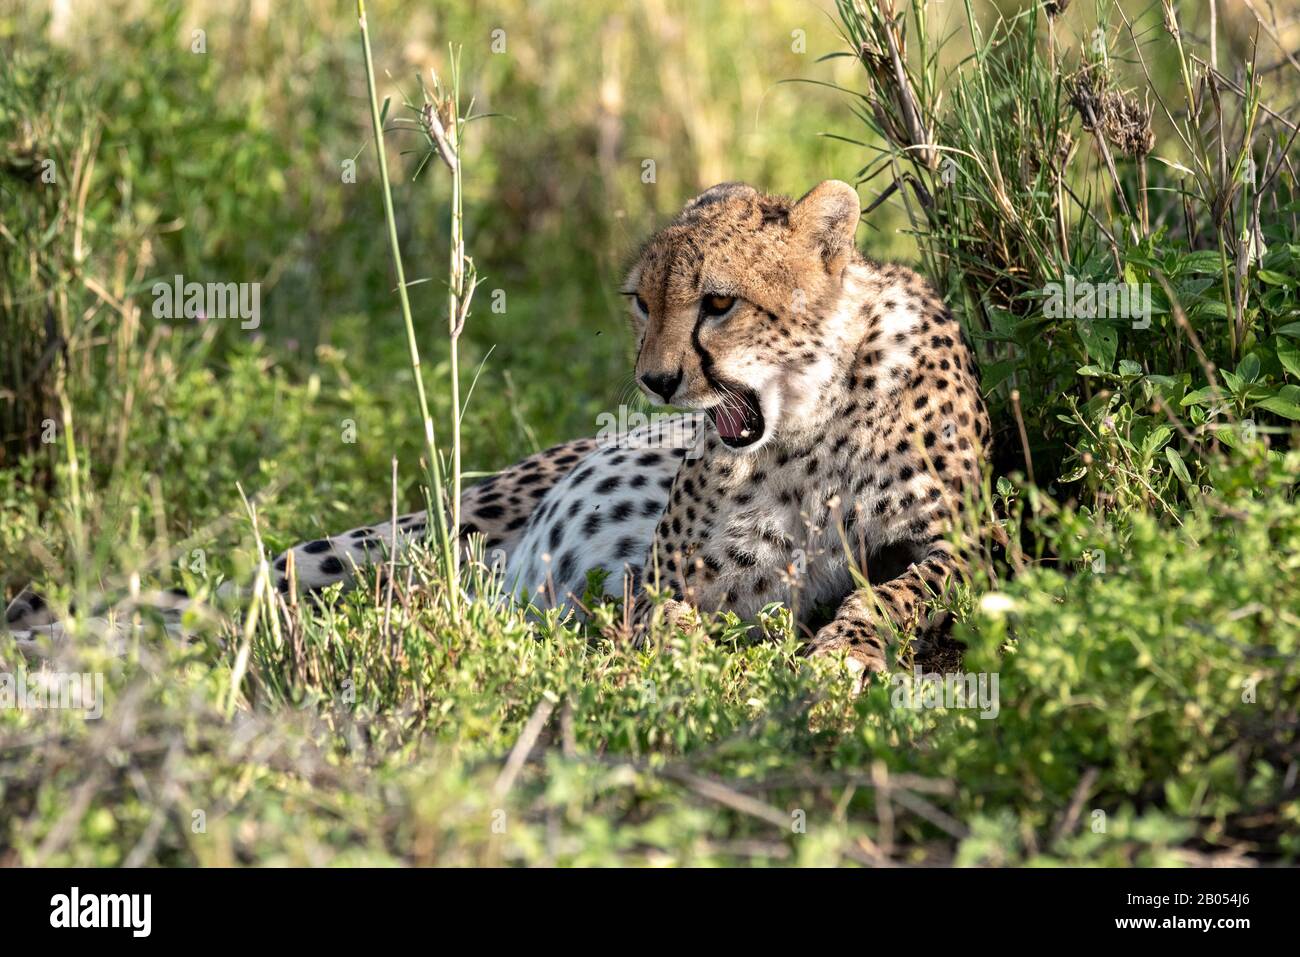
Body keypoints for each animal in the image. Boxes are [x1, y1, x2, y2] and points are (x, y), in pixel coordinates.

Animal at [5, 179, 987, 681]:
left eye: (718, 303)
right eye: (642, 301)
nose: (656, 380)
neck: (808, 418)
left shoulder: (971, 543)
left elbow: (893, 593)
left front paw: (839, 658)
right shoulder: (669, 576)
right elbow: (661, 621)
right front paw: (673, 665)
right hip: (404, 538)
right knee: (218, 602)